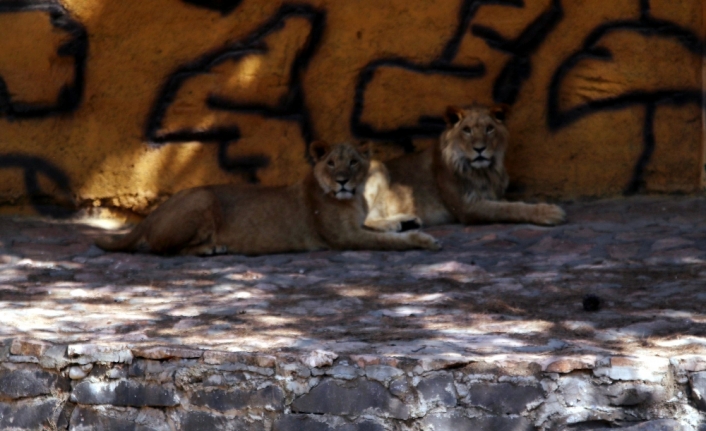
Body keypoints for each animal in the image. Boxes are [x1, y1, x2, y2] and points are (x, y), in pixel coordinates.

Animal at [93, 142, 434, 256]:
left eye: (353, 162)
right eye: (331, 163)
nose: (342, 180)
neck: (354, 198)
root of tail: (152, 213)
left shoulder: (355, 225)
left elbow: (378, 225)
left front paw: (406, 221)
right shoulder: (344, 237)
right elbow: (385, 241)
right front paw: (422, 239)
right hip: (203, 197)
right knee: (162, 249)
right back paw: (210, 249)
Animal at [366, 104, 564, 228]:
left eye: (489, 128)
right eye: (466, 130)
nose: (479, 149)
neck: (485, 172)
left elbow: (512, 204)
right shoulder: (467, 207)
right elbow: (509, 209)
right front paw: (550, 212)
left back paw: (408, 221)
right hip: (377, 167)